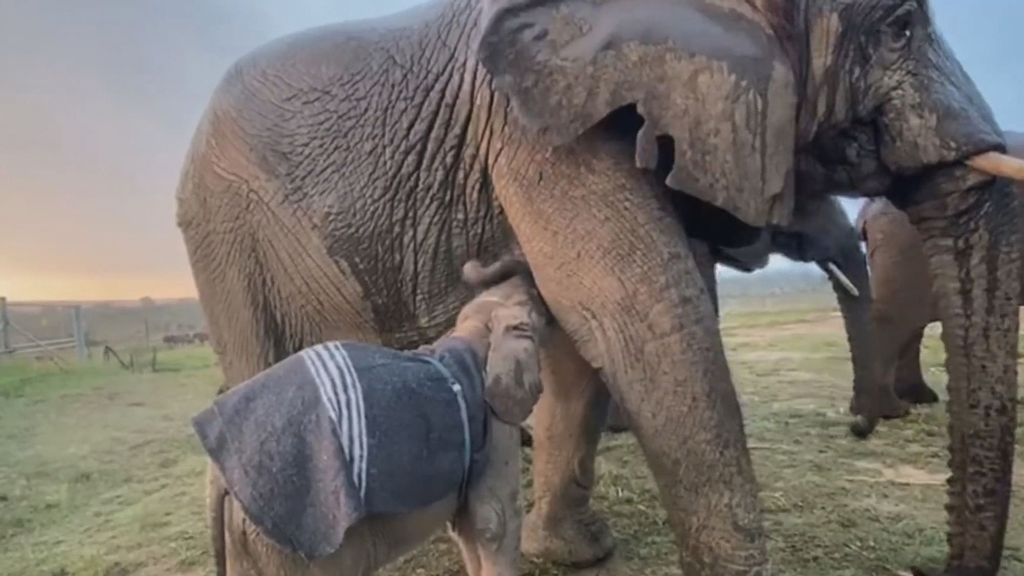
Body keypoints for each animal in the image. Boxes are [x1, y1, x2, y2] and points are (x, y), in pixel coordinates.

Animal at [189, 256, 548, 573]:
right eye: (532, 301)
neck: (473, 328)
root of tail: (218, 478)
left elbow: (466, 529)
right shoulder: (494, 420)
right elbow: (494, 521)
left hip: (245, 541)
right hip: (293, 543)